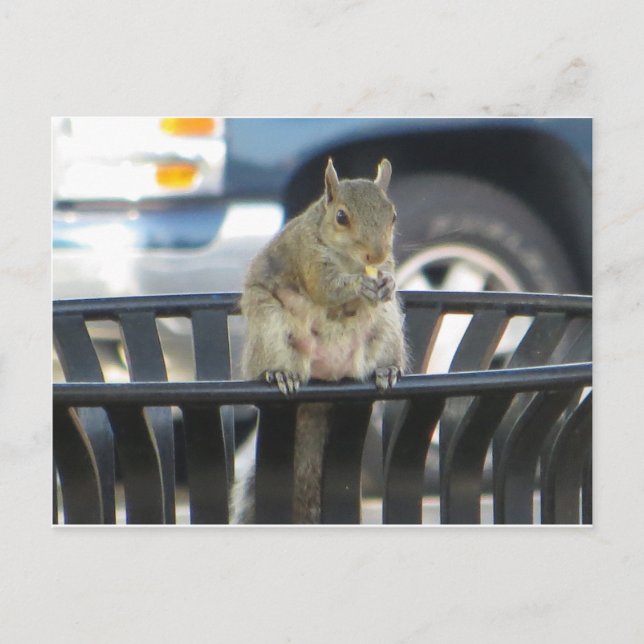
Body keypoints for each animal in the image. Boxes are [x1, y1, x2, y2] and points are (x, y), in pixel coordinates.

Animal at [231, 158, 407, 524]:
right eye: (341, 216)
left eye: (393, 215)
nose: (376, 255)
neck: (349, 261)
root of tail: (326, 377)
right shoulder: (308, 258)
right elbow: (325, 288)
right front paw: (357, 286)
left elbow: (388, 276)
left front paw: (388, 283)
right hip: (270, 330)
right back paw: (280, 374)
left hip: (386, 330)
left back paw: (386, 370)